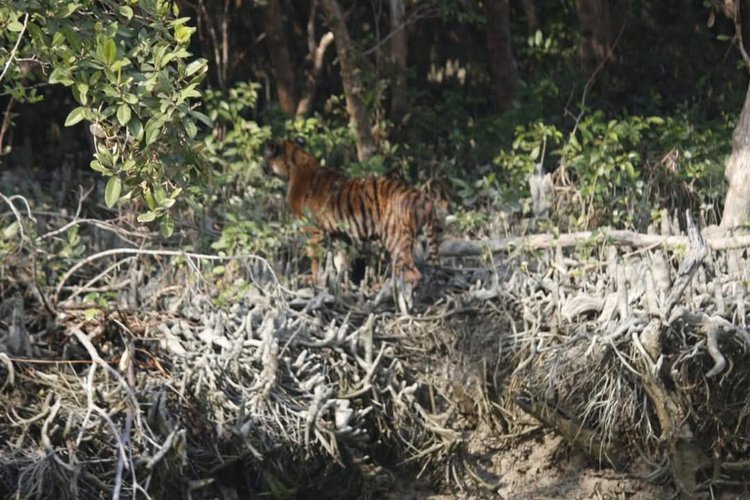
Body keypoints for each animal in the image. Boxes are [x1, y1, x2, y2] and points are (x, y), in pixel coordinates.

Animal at [264, 139, 440, 288]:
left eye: (265, 156)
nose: (261, 168)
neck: (295, 165)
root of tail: (424, 197)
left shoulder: (313, 230)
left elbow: (315, 257)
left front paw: (314, 280)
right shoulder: (339, 234)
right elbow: (340, 260)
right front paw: (341, 283)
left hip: (396, 239)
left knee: (413, 273)